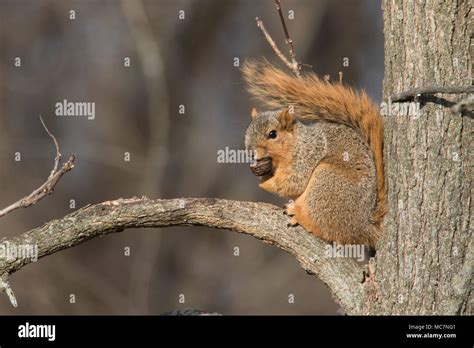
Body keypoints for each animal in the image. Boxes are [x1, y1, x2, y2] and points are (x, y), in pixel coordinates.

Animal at [244, 61, 386, 249]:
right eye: (247, 131)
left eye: (272, 134)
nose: (251, 153)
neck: (296, 143)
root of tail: (363, 227)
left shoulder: (308, 155)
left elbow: (293, 182)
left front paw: (264, 180)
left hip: (327, 182)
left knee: (323, 227)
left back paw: (298, 215)